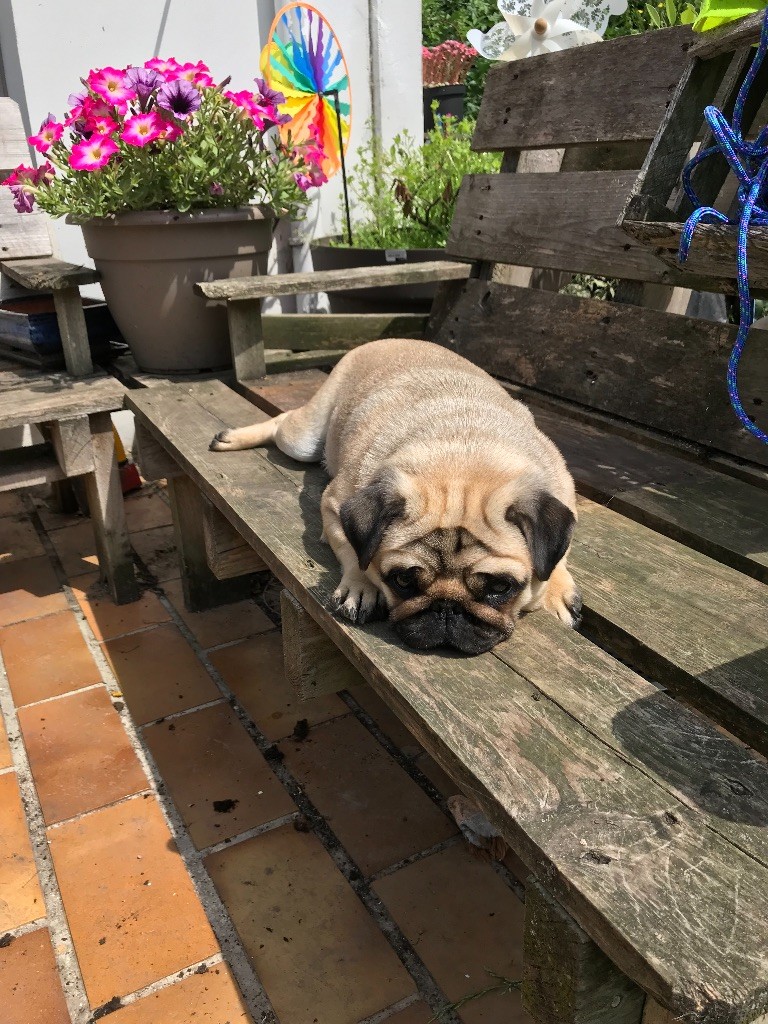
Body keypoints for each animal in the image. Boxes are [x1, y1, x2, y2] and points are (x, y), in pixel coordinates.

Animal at [210, 338, 581, 655]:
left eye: (500, 588)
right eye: (403, 581)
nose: (447, 609)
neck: (463, 453)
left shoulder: (564, 494)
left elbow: (559, 554)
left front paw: (557, 589)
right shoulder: (336, 505)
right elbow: (353, 550)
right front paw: (361, 584)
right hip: (303, 439)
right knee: (283, 422)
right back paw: (231, 438)